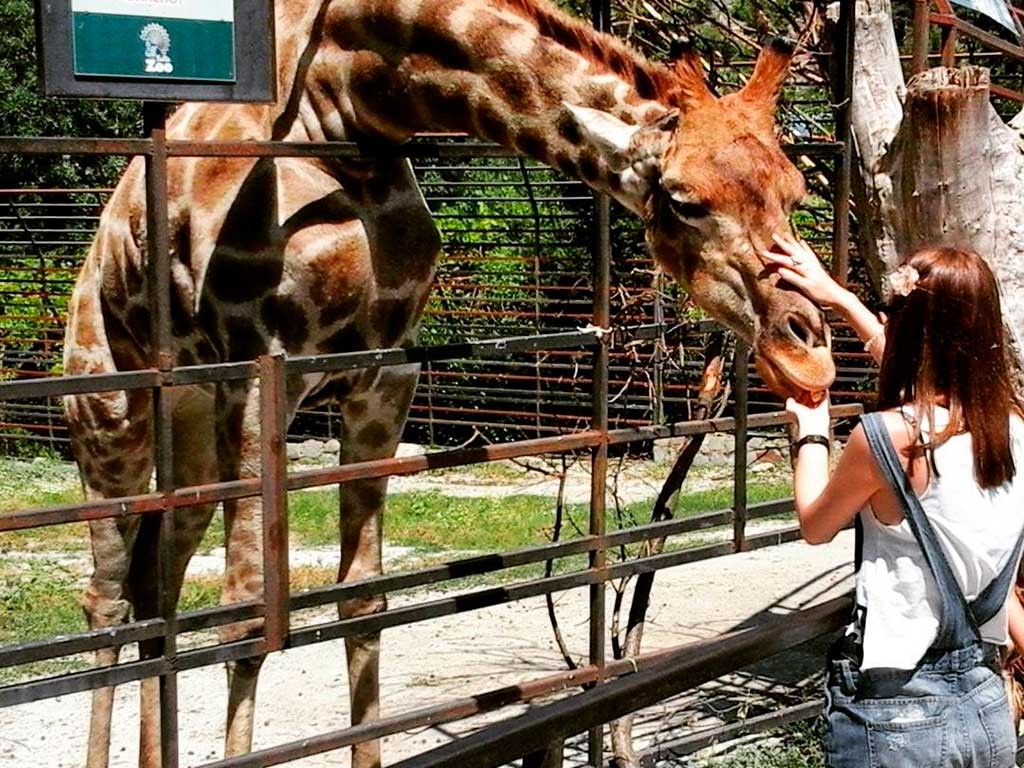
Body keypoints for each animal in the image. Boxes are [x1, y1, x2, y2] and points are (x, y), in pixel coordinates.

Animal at [61, 1, 831, 768]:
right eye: (683, 200)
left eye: (795, 193)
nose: (810, 357)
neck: (353, 105)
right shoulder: (256, 374)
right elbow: (247, 619)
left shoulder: (384, 376)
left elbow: (364, 601)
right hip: (110, 407)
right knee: (106, 598)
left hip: (188, 425)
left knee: (155, 582)